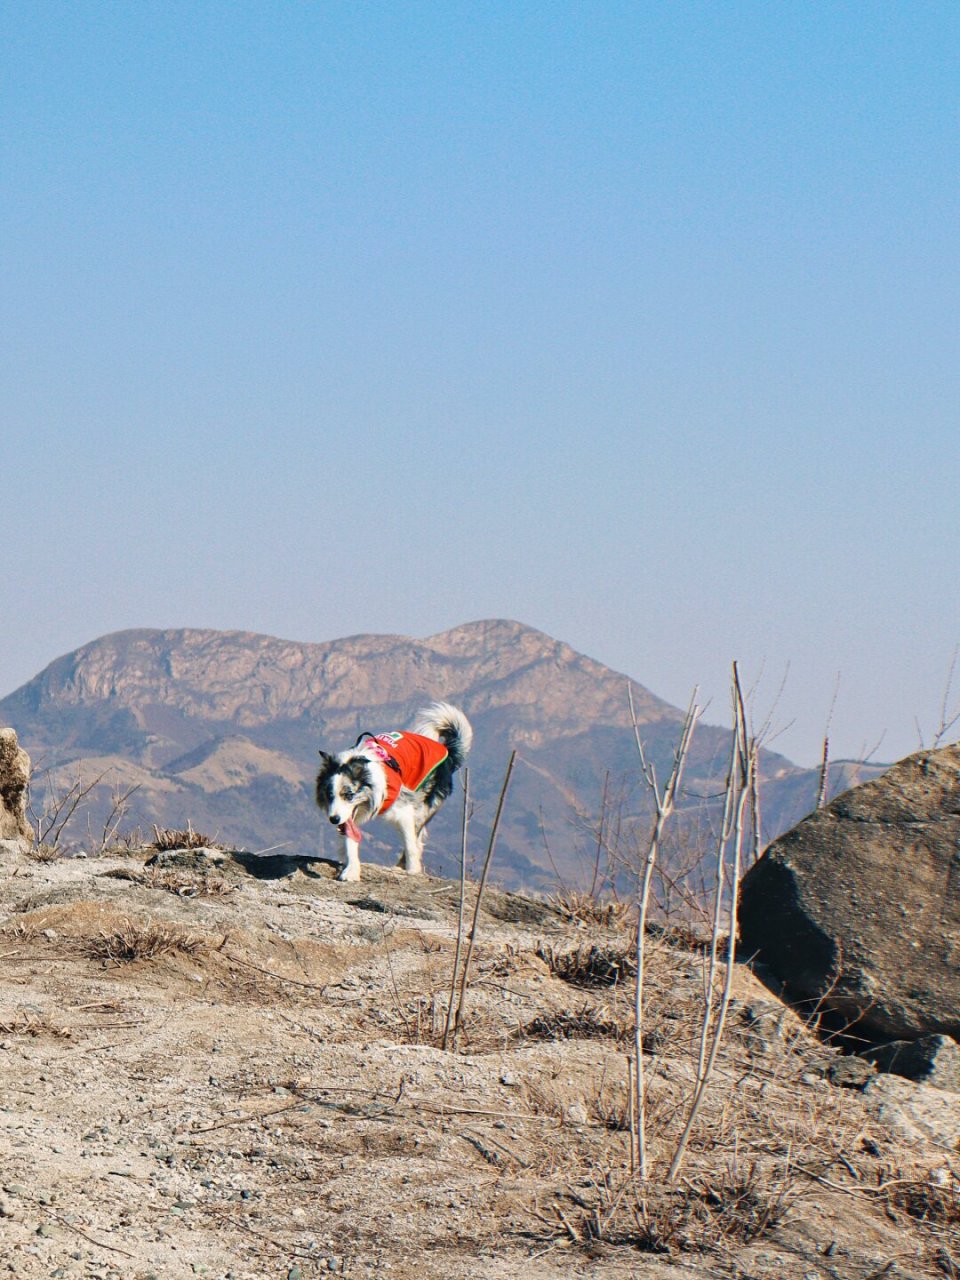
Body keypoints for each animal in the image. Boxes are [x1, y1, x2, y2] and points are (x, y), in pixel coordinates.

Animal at [317, 701, 476, 880]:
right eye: (329, 795)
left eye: (349, 795)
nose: (334, 819)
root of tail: (447, 751)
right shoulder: (349, 816)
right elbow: (350, 839)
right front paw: (351, 871)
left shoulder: (404, 809)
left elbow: (409, 843)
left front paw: (412, 871)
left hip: (423, 806)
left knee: (416, 838)